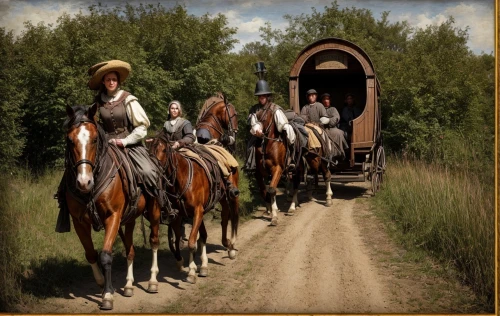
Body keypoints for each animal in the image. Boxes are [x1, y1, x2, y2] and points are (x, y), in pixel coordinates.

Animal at [63, 103, 162, 308]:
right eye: (70, 140)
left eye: (94, 139)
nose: (84, 182)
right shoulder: (79, 222)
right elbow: (91, 254)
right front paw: (102, 284)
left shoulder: (112, 216)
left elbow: (106, 255)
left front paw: (107, 295)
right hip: (130, 218)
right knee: (130, 250)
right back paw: (129, 285)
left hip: (154, 212)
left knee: (154, 241)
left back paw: (152, 281)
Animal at [148, 131, 238, 284]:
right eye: (149, 151)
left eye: (164, 150)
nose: (154, 170)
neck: (181, 178)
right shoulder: (178, 215)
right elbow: (179, 239)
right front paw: (181, 262)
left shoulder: (197, 211)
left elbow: (191, 242)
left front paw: (191, 272)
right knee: (212, 227)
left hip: (229, 196)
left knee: (228, 217)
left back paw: (230, 247)